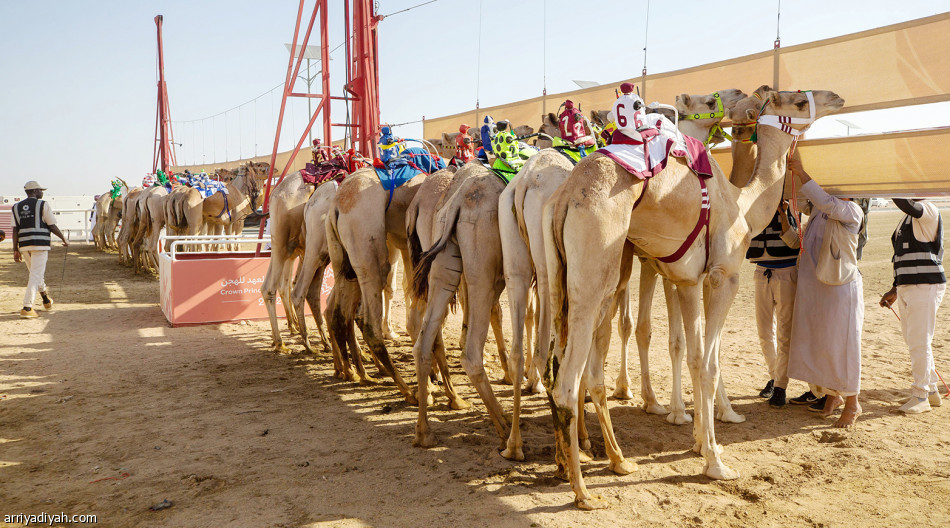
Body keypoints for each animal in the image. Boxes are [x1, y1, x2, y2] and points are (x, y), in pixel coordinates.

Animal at [544, 88, 848, 510]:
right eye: (798, 103)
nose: (836, 96)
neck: (742, 203)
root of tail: (566, 197)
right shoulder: (723, 277)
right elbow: (708, 364)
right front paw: (716, 461)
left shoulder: (687, 281)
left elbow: (693, 353)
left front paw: (698, 441)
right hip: (594, 275)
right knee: (568, 383)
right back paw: (585, 492)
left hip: (566, 280)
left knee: (563, 365)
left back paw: (594, 463)